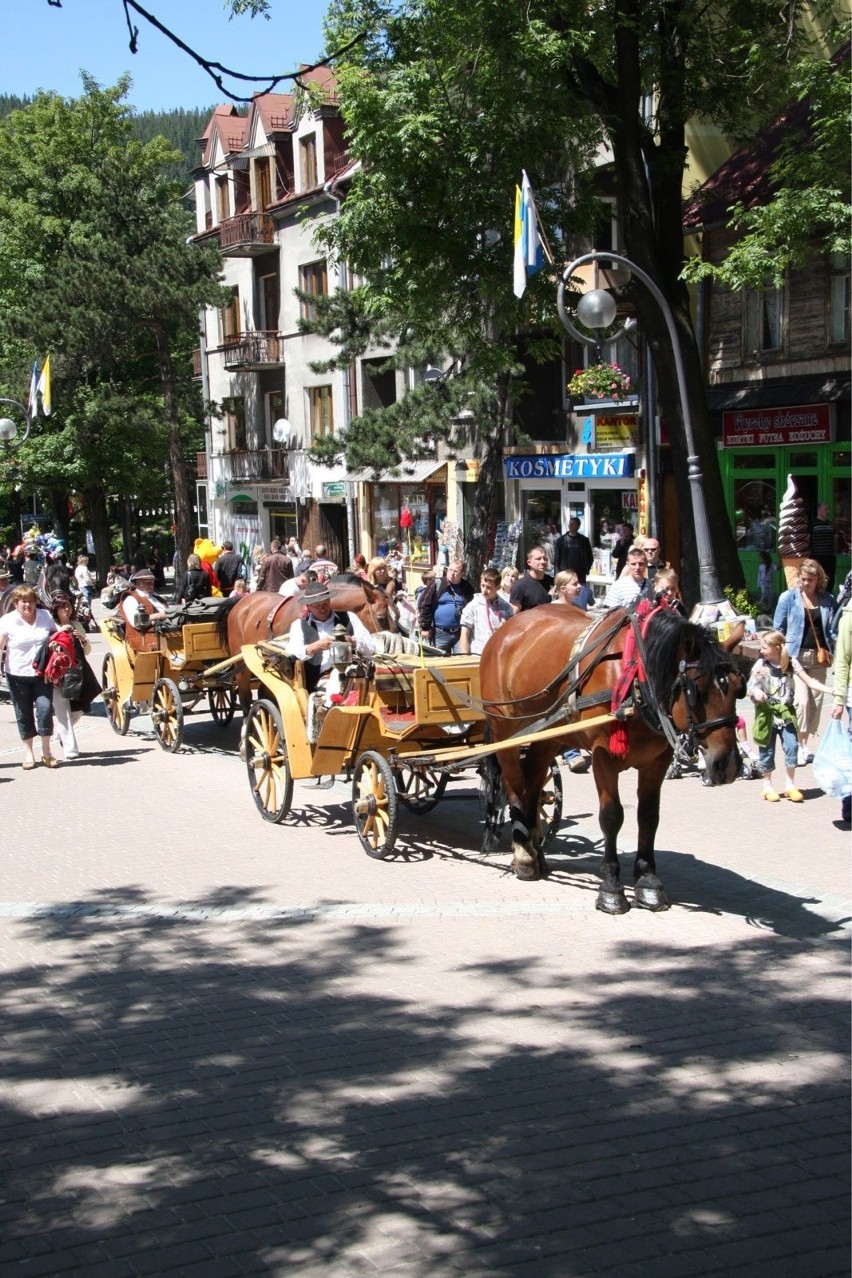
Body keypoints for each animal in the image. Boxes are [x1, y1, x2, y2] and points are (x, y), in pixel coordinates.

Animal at [480, 603, 745, 915]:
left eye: (739, 688)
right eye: (696, 691)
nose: (727, 765)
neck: (635, 678)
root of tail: (507, 627)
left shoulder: (657, 760)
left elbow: (648, 816)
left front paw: (648, 882)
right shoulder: (603, 756)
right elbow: (611, 817)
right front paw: (611, 888)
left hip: (548, 733)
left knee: (532, 786)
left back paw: (536, 853)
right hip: (506, 731)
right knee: (514, 787)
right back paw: (523, 854)